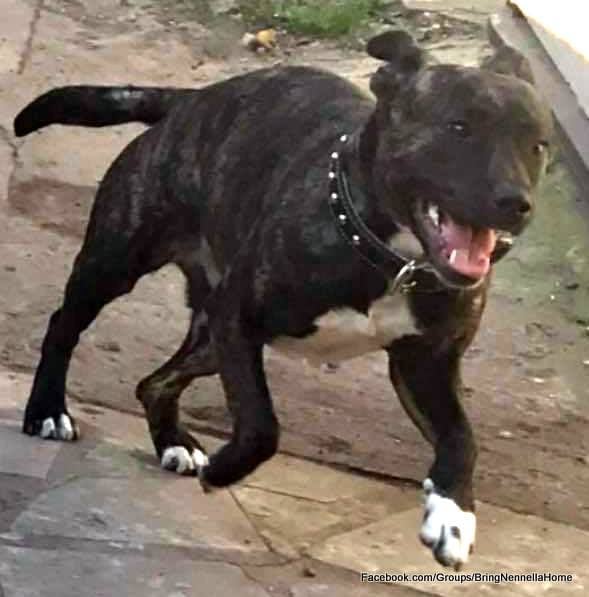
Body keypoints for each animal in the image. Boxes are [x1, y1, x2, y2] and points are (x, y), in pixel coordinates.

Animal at [16, 31, 552, 568]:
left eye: (538, 146)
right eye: (458, 127)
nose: (518, 204)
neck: (390, 258)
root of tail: (192, 100)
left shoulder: (426, 366)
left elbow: (463, 440)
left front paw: (453, 517)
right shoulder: (239, 318)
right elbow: (261, 425)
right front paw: (226, 470)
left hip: (209, 340)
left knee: (155, 383)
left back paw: (172, 441)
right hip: (115, 267)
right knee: (63, 325)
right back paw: (48, 409)